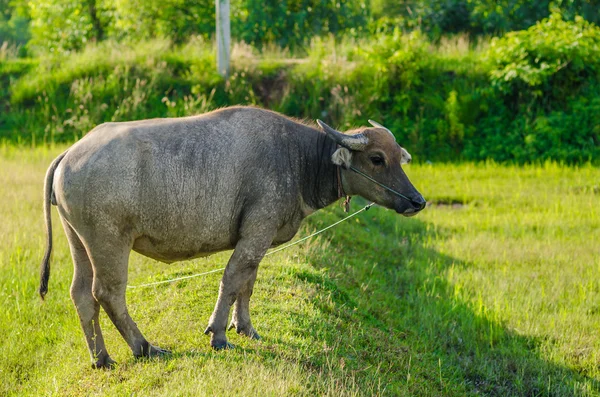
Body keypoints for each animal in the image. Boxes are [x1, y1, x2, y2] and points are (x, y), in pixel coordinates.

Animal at [38, 106, 426, 368]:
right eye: (377, 158)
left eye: (398, 157)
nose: (417, 201)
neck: (298, 159)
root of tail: (71, 152)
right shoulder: (256, 232)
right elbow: (232, 278)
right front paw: (219, 334)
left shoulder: (258, 238)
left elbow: (248, 282)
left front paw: (246, 328)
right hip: (110, 242)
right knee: (108, 293)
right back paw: (145, 348)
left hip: (79, 241)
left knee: (80, 294)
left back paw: (102, 359)